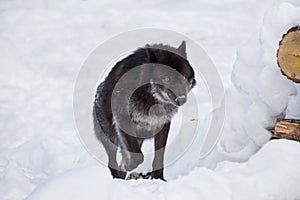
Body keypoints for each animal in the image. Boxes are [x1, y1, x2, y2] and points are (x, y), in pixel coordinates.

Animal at [94, 41, 197, 180]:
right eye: (166, 79)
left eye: (184, 77)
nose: (181, 99)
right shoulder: (123, 119)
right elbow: (139, 157)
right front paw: (128, 166)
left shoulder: (162, 125)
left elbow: (158, 158)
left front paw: (159, 179)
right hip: (111, 138)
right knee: (112, 162)